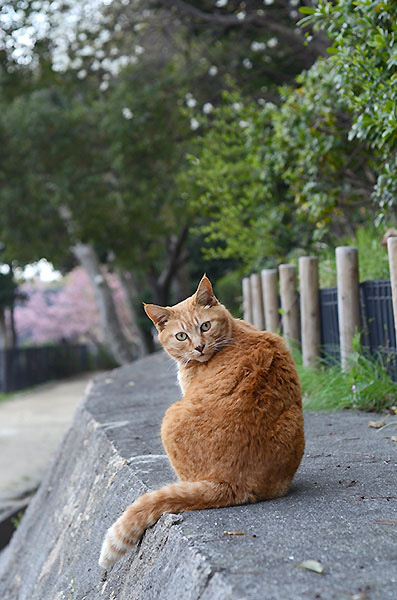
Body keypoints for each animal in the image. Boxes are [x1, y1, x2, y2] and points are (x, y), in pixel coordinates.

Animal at [99, 276, 304, 568]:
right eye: (181, 335)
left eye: (205, 326)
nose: (199, 346)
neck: (234, 332)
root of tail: (231, 482)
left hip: (169, 418)